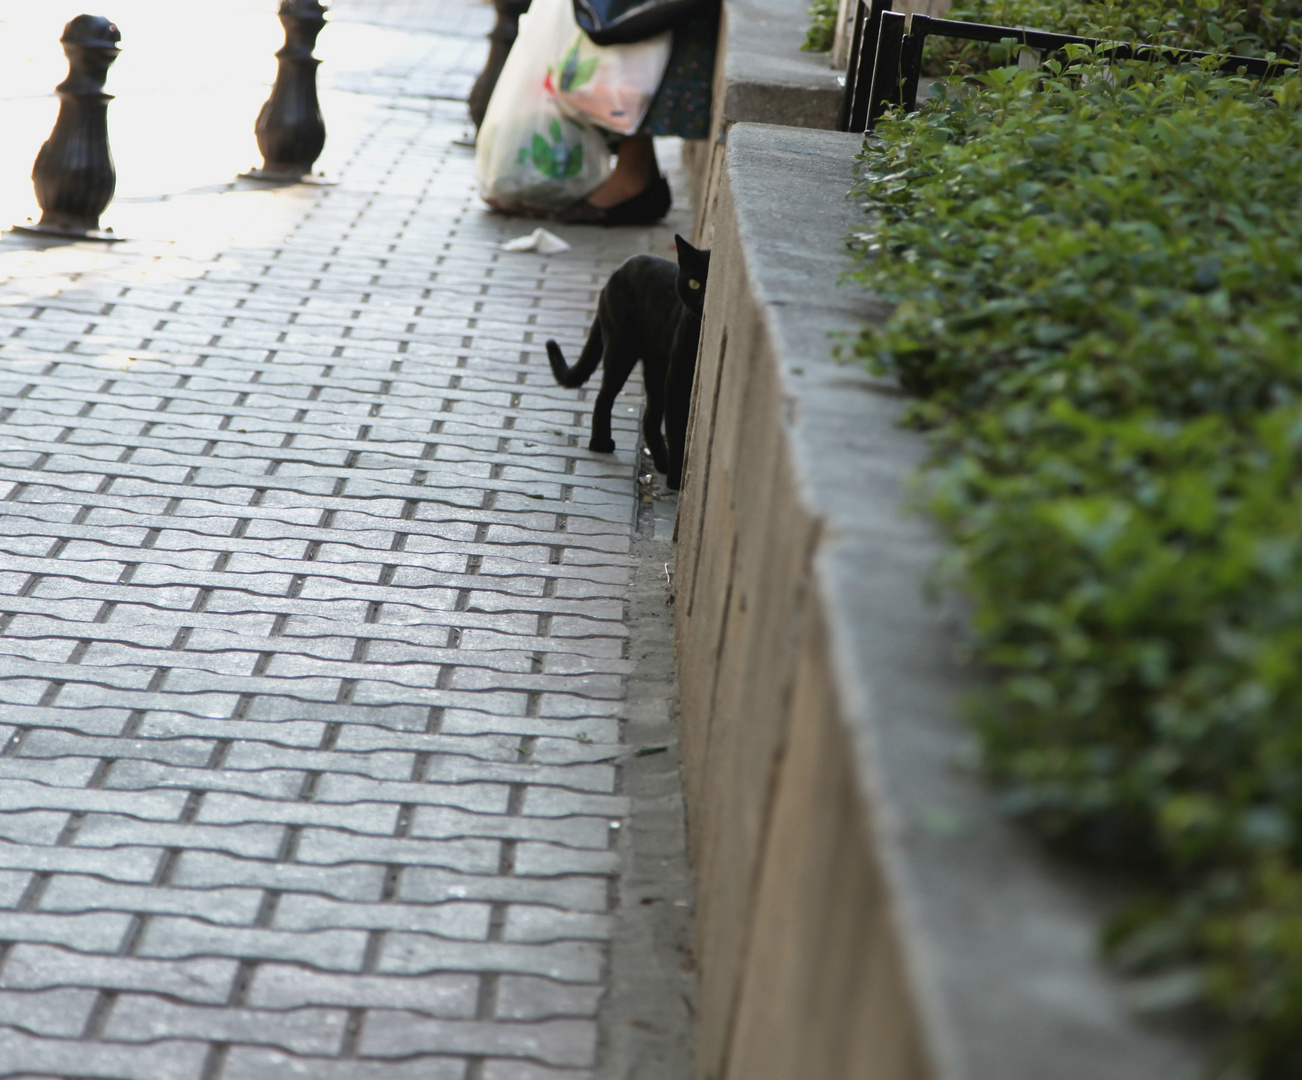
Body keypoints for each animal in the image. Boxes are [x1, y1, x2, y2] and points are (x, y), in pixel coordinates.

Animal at [549, 237, 713, 492]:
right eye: (694, 283)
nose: (703, 299)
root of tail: (618, 270)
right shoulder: (677, 380)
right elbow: (677, 430)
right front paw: (676, 480)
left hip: (655, 366)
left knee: (649, 417)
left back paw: (661, 460)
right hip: (621, 350)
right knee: (604, 397)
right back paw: (601, 443)